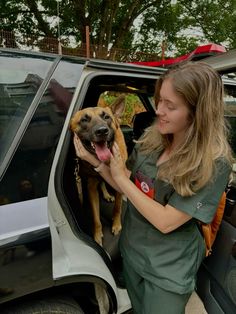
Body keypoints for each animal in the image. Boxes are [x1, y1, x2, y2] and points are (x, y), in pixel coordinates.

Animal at [70, 96, 128, 245]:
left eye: (106, 117)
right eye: (84, 120)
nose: (102, 131)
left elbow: (118, 207)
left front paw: (116, 225)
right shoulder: (91, 188)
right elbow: (96, 218)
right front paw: (97, 235)